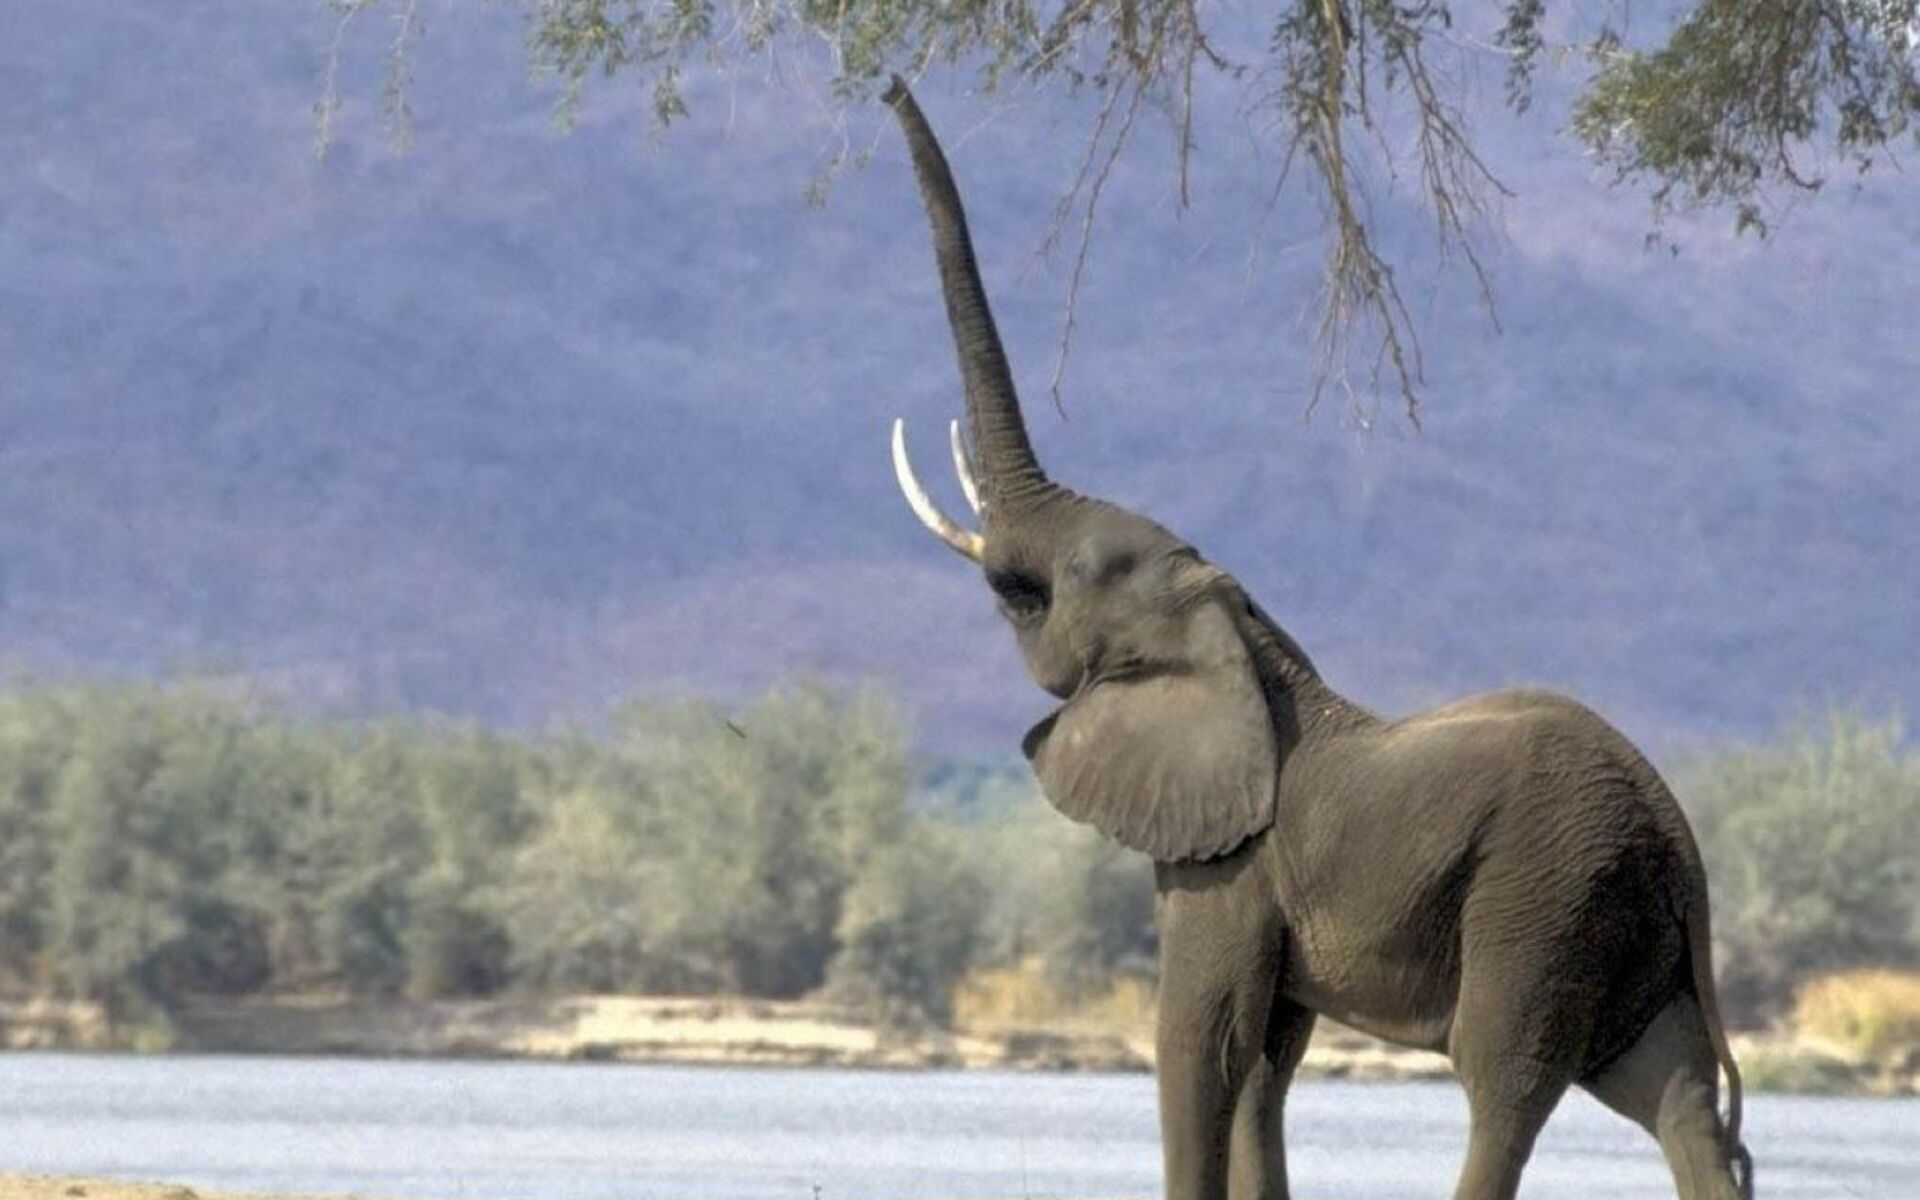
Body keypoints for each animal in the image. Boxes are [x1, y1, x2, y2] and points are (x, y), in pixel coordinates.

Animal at [876, 79, 1755, 1200]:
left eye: (1056, 587)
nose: (890, 85)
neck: (1240, 632)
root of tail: (1677, 836)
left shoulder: (1230, 856)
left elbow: (1200, 1043)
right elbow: (1266, 1061)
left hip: (1547, 894)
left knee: (1505, 1081)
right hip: (1629, 923)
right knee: (1673, 1091)